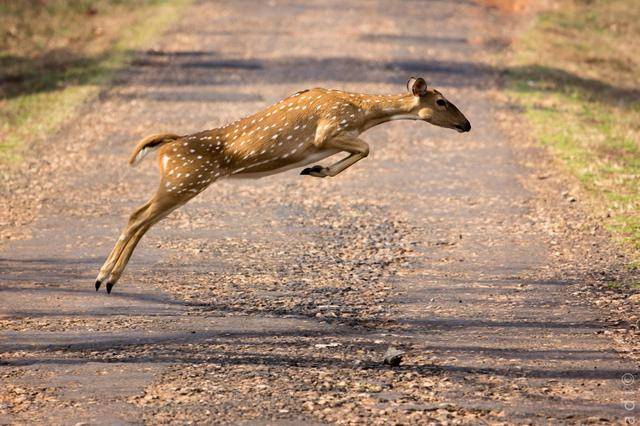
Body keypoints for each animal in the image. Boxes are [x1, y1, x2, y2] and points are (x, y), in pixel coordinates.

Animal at [97, 77, 472, 292]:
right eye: (441, 101)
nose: (466, 124)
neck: (364, 113)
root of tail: (166, 148)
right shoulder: (329, 130)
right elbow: (366, 148)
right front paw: (315, 170)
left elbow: (364, 149)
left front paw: (315, 170)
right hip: (185, 179)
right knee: (137, 217)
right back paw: (104, 279)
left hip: (182, 182)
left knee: (141, 218)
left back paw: (109, 280)